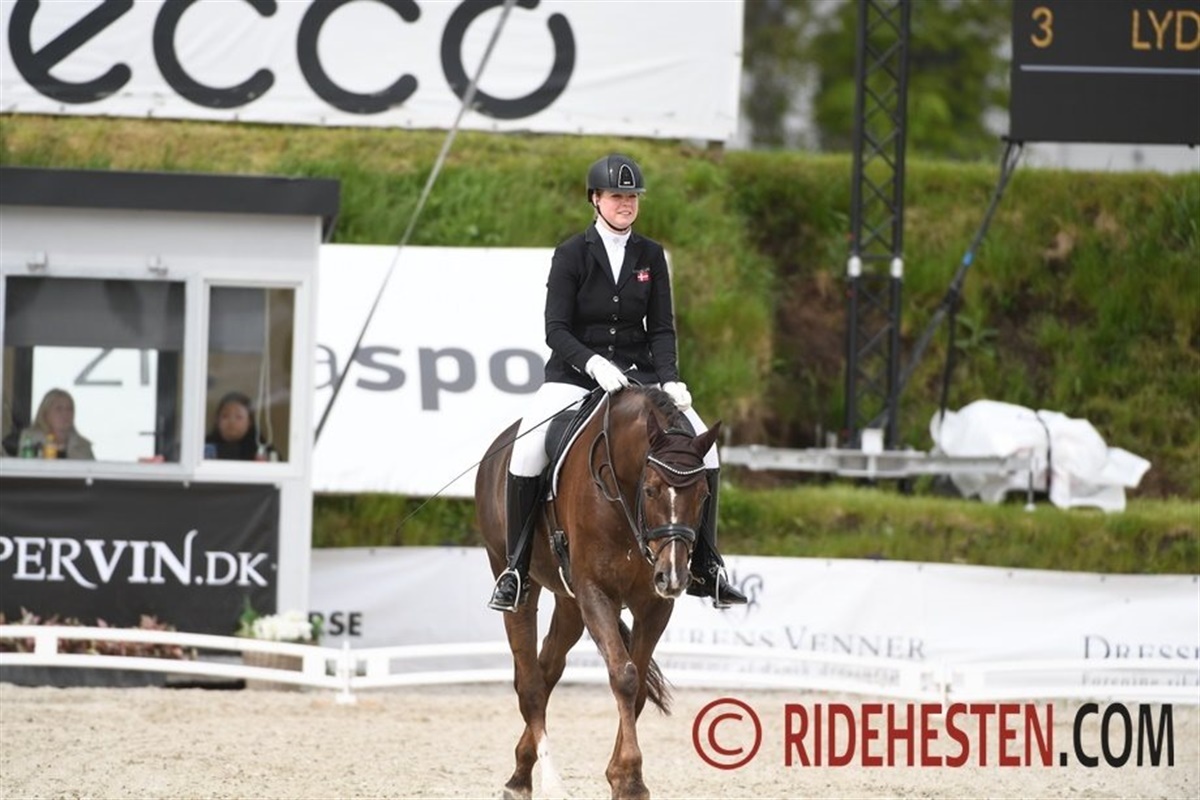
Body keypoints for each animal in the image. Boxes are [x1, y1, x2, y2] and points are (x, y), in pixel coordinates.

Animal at [476, 386, 721, 800]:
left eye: (705, 494)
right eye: (651, 490)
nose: (673, 577)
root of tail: (498, 445)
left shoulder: (652, 605)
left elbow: (636, 687)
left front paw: (622, 779)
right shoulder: (595, 592)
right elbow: (624, 676)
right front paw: (630, 777)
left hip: (569, 602)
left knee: (548, 668)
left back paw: (523, 768)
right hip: (515, 575)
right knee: (530, 682)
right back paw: (541, 782)